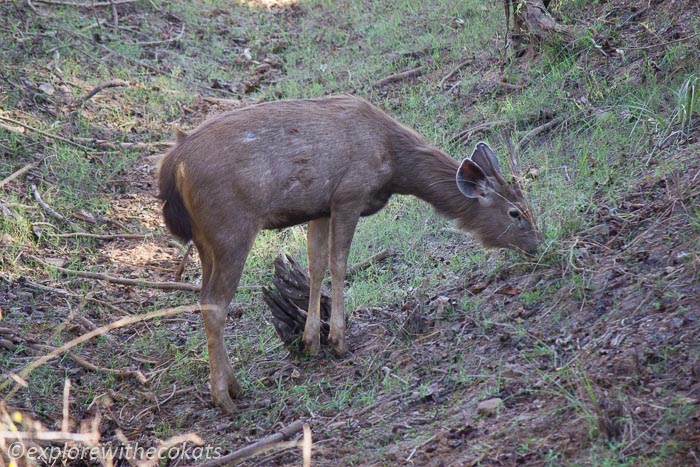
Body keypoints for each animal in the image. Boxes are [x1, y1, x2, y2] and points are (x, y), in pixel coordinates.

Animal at [159, 95, 540, 414]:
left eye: (527, 207)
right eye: (515, 213)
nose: (538, 245)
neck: (393, 162)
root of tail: (173, 165)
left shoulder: (320, 207)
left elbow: (315, 265)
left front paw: (312, 340)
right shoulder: (349, 194)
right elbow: (339, 264)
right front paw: (339, 340)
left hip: (207, 240)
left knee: (205, 298)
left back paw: (235, 386)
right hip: (231, 227)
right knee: (215, 302)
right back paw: (223, 398)